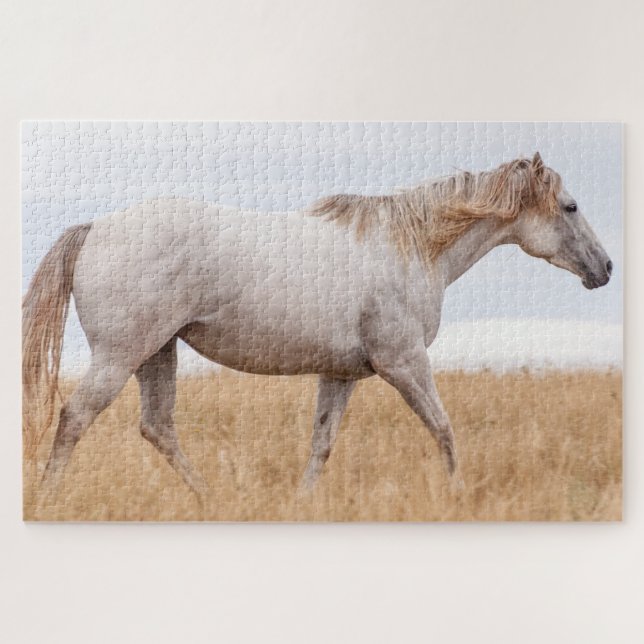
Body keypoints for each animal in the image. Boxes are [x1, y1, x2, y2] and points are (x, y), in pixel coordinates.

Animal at [22, 152, 612, 498]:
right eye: (570, 206)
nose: (605, 269)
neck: (412, 246)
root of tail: (95, 227)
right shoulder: (404, 363)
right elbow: (443, 428)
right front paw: (458, 496)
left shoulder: (342, 374)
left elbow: (322, 443)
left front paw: (302, 502)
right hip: (120, 355)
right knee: (75, 417)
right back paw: (50, 498)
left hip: (156, 353)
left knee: (158, 427)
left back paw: (213, 498)